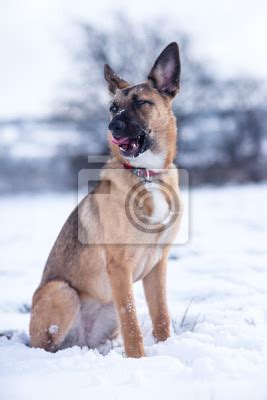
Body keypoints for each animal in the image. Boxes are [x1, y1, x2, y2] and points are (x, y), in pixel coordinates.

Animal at [30, 42, 183, 358]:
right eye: (112, 107)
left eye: (142, 103)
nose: (113, 126)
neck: (146, 174)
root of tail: (80, 340)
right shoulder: (119, 267)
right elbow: (132, 321)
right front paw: (138, 359)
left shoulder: (158, 265)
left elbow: (161, 315)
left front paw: (166, 348)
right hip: (61, 291)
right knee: (47, 346)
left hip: (105, 312)